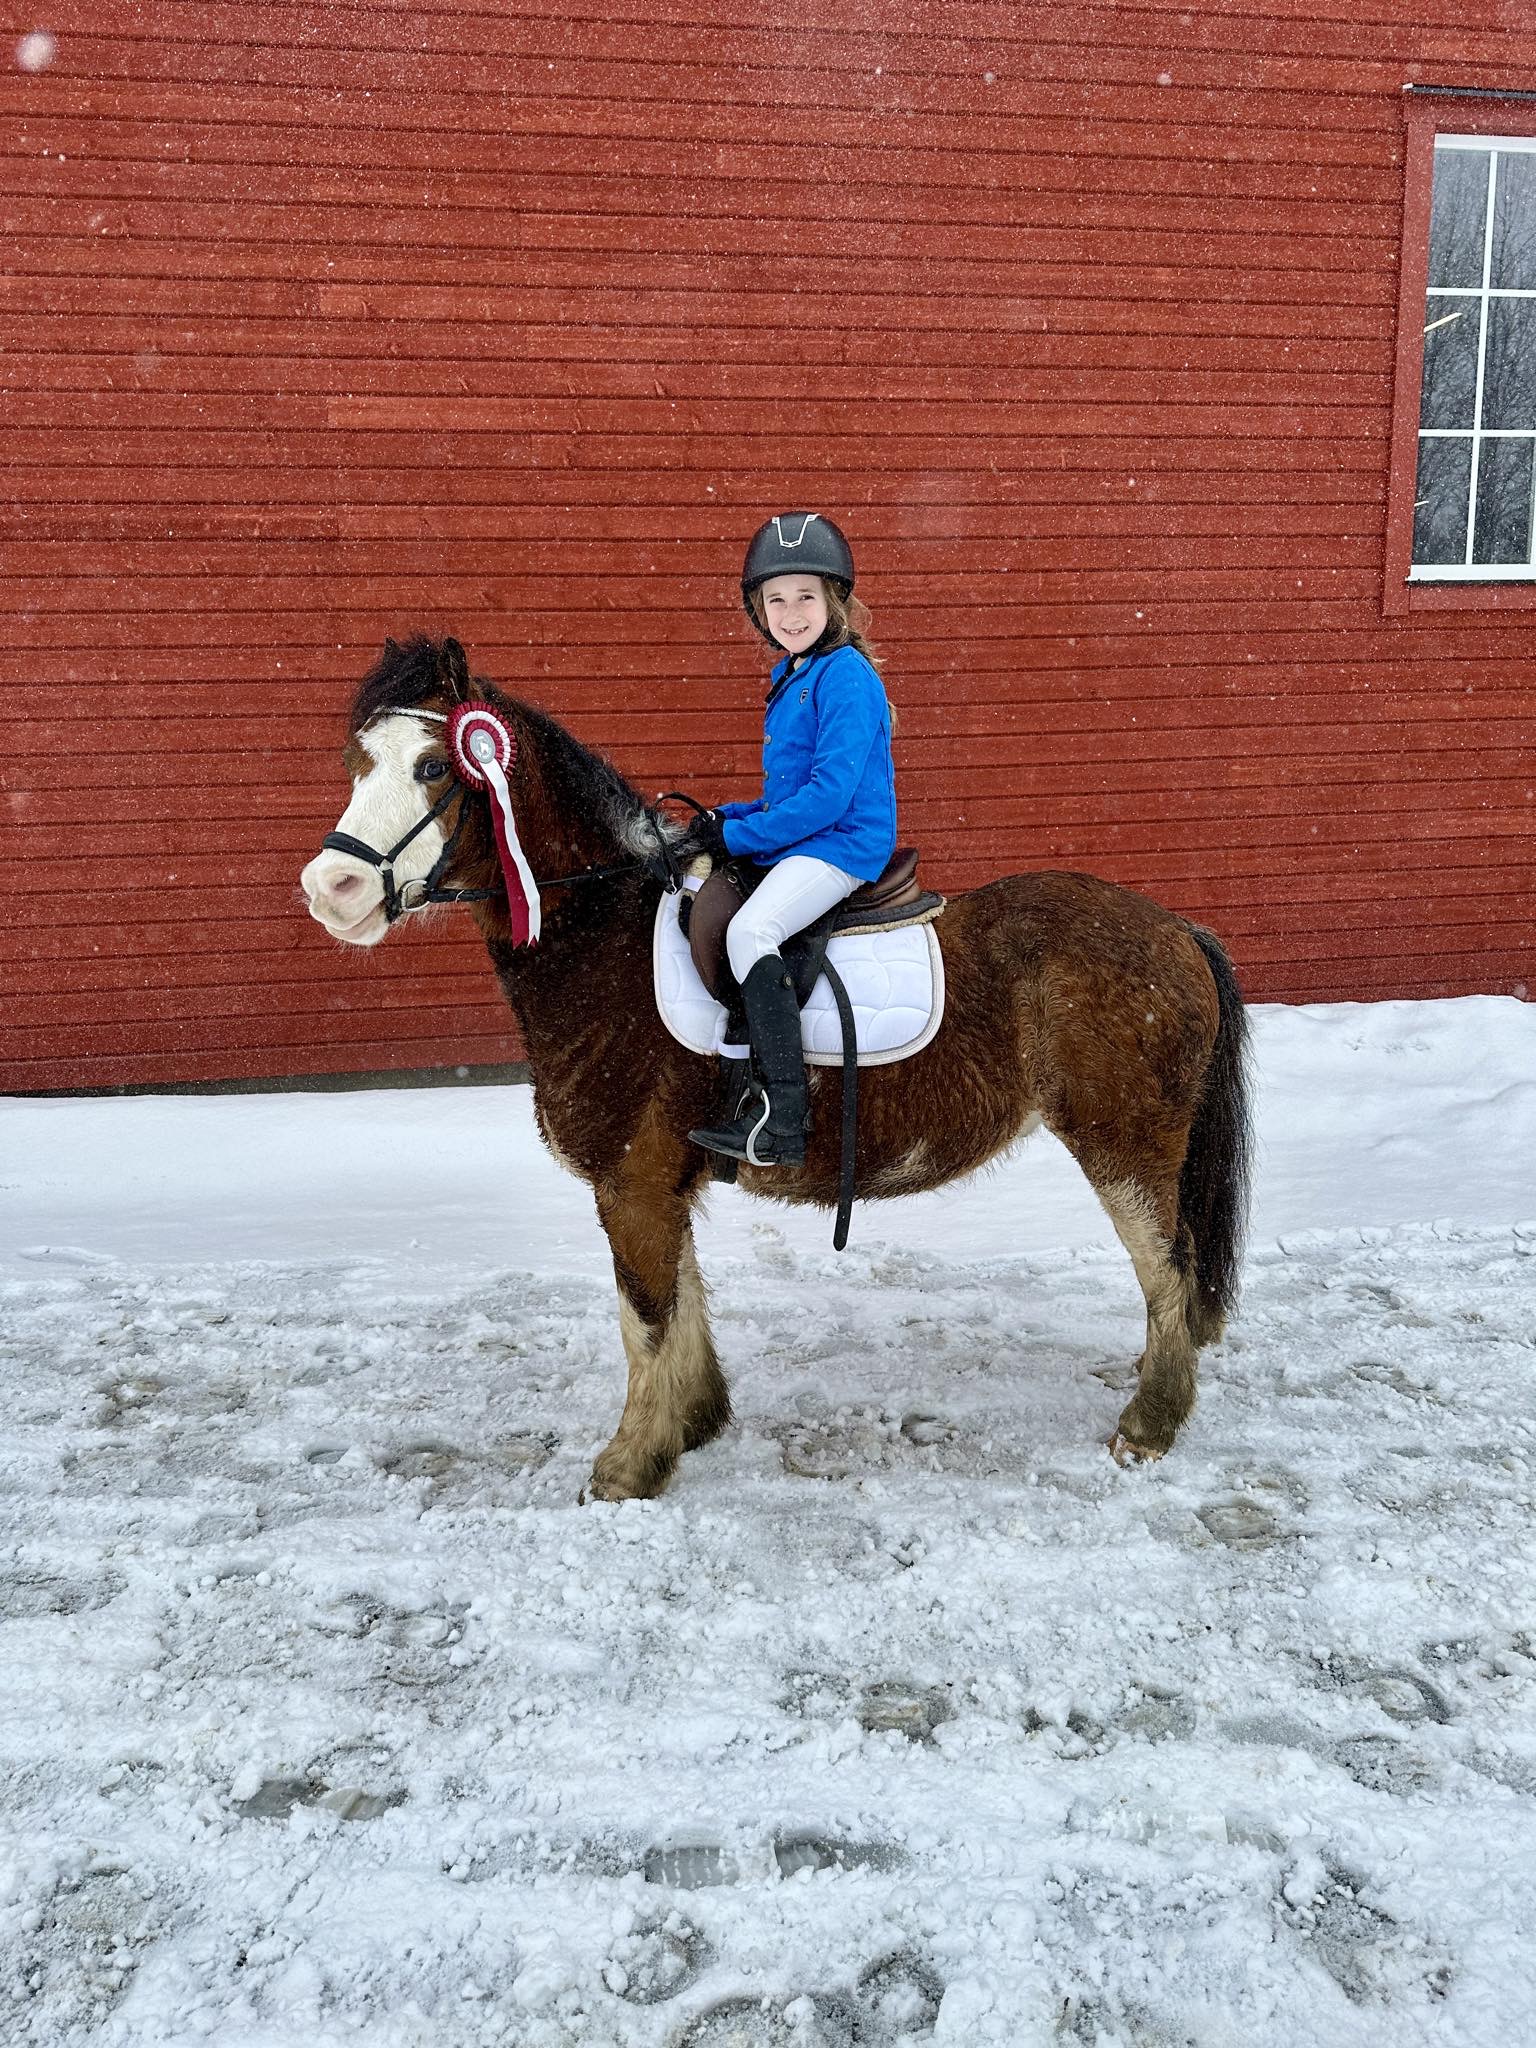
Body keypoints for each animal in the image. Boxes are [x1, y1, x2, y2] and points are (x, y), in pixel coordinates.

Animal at [296, 638, 1253, 1507]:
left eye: (431, 766)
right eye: (356, 763)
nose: (330, 888)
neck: (603, 939)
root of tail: (1177, 928)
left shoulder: (630, 1183)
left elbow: (644, 1321)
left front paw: (628, 1467)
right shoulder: (658, 1185)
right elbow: (678, 1304)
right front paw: (692, 1425)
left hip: (1124, 1145)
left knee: (1166, 1266)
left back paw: (1149, 1425)